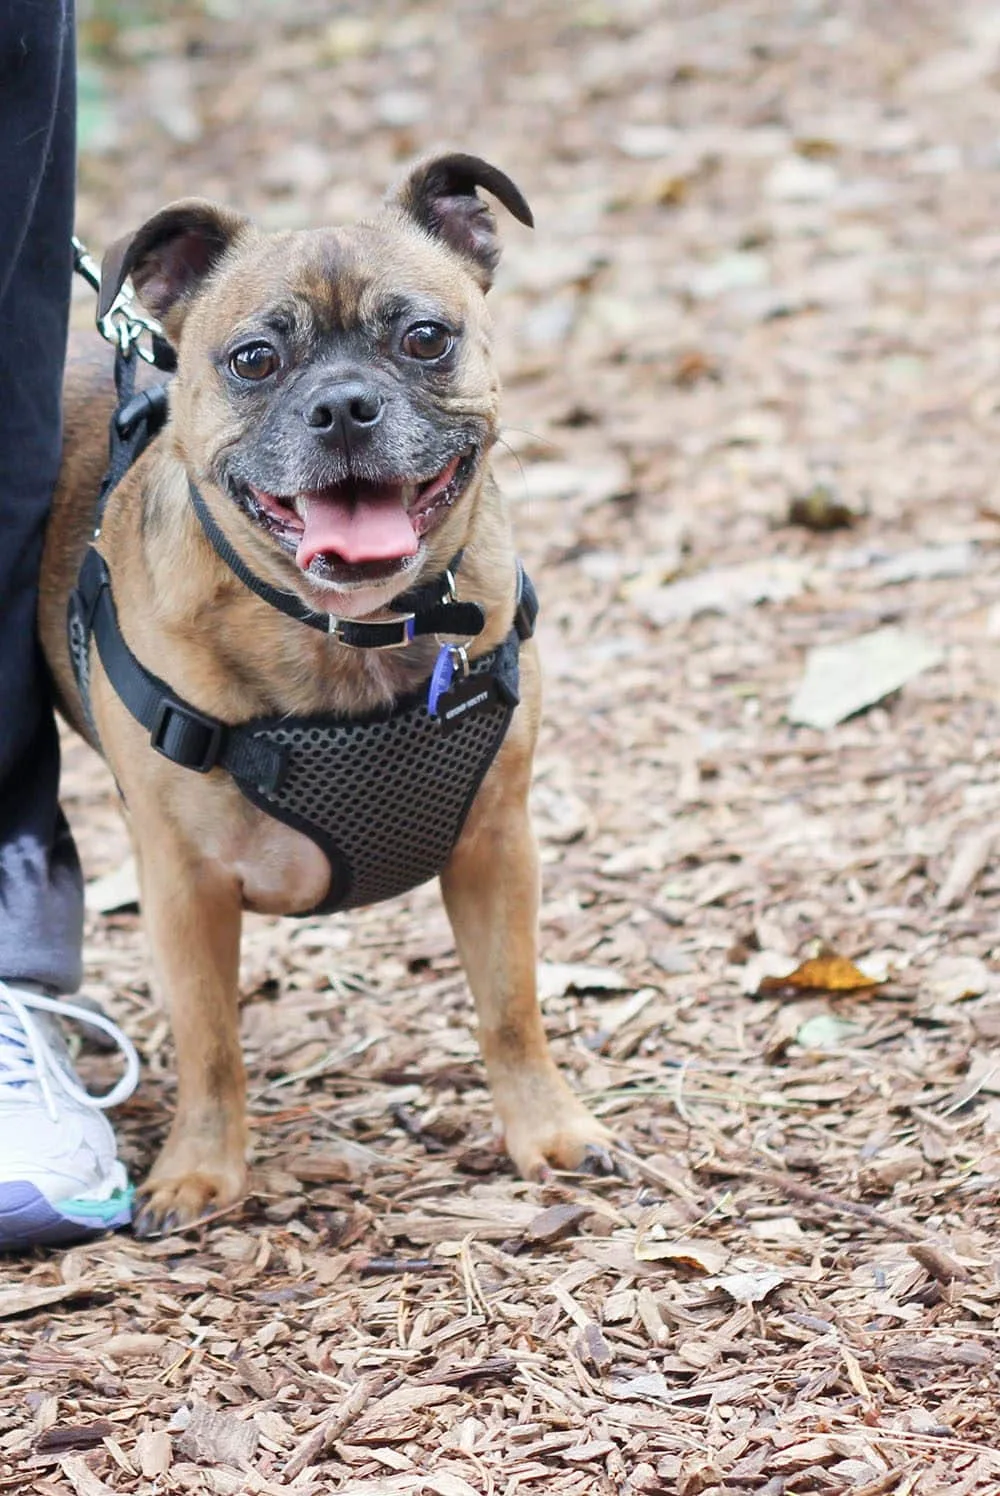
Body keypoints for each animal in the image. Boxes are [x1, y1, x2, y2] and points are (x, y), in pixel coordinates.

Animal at [39, 151, 613, 1232]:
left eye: (425, 337)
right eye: (255, 359)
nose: (344, 405)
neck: (350, 632)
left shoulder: (496, 847)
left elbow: (511, 1008)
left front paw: (547, 1129)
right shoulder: (182, 889)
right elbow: (210, 1043)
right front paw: (201, 1170)